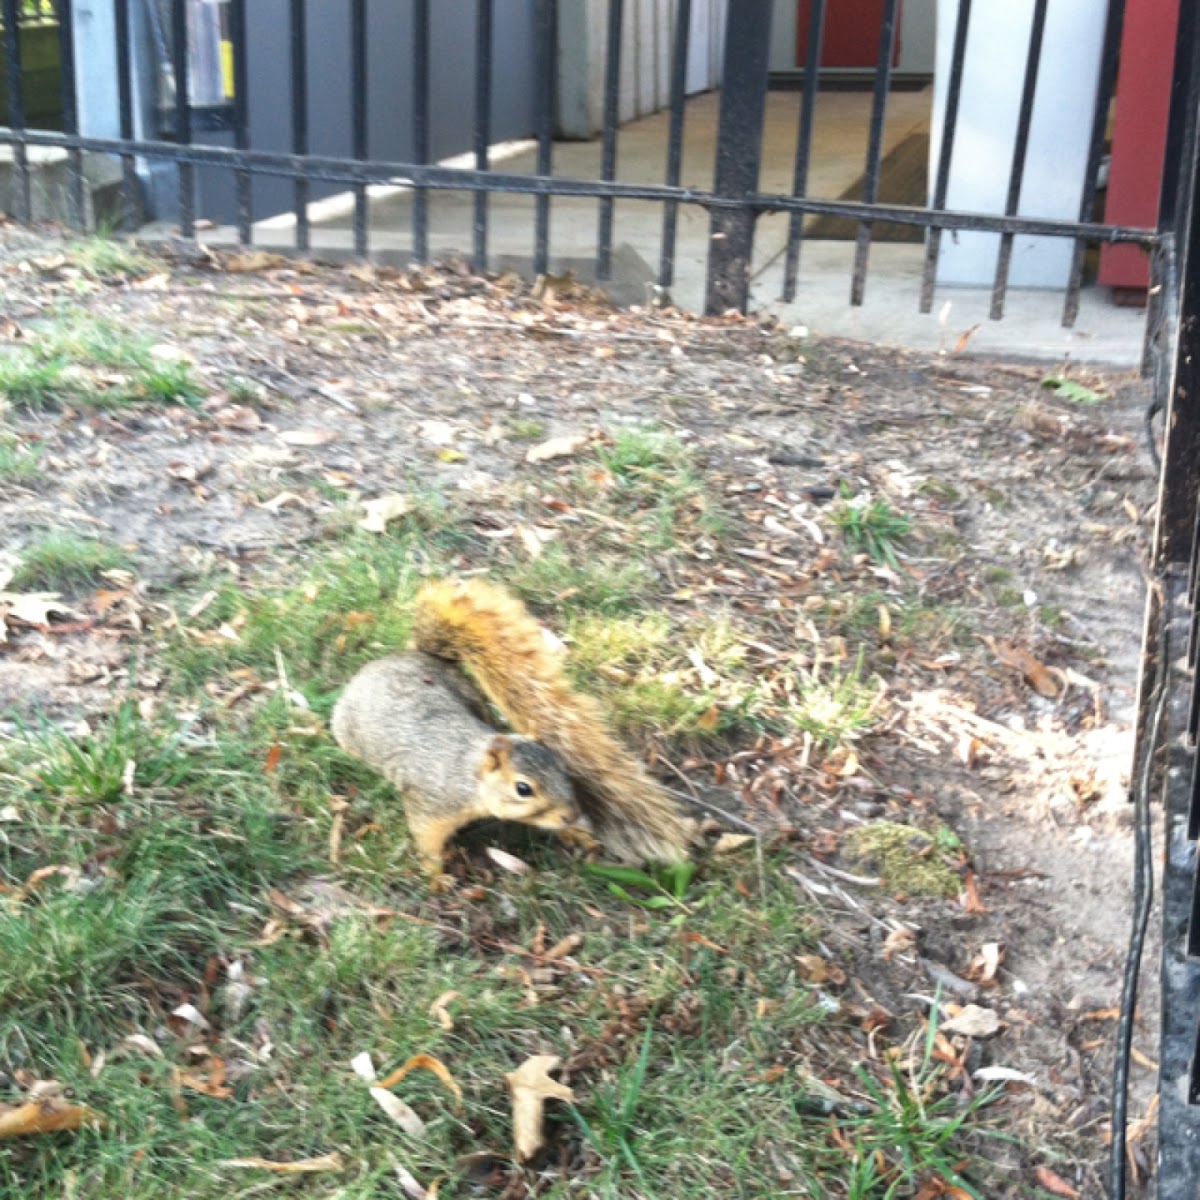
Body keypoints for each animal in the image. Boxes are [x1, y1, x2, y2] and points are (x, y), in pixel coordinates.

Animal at [331, 577, 694, 873]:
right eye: (523, 789)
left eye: (565, 770)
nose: (571, 814)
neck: (469, 772)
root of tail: (416, 657)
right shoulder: (431, 803)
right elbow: (426, 840)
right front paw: (436, 876)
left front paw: (575, 832)